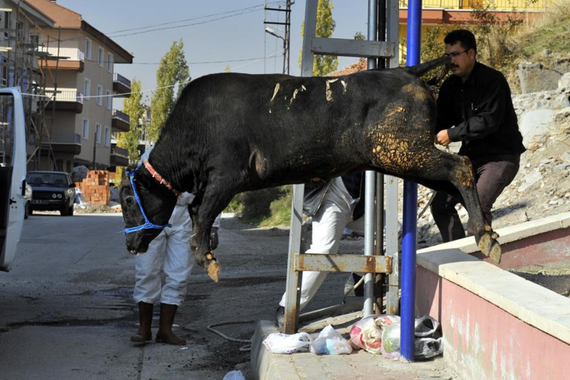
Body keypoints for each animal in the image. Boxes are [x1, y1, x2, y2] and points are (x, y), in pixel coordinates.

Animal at [118, 57, 496, 282]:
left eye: (129, 200)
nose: (130, 246)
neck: (194, 125)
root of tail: (406, 71)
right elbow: (199, 212)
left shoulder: (226, 178)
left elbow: (202, 213)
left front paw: (206, 259)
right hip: (402, 159)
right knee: (453, 180)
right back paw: (487, 230)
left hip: (404, 152)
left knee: (461, 166)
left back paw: (485, 235)